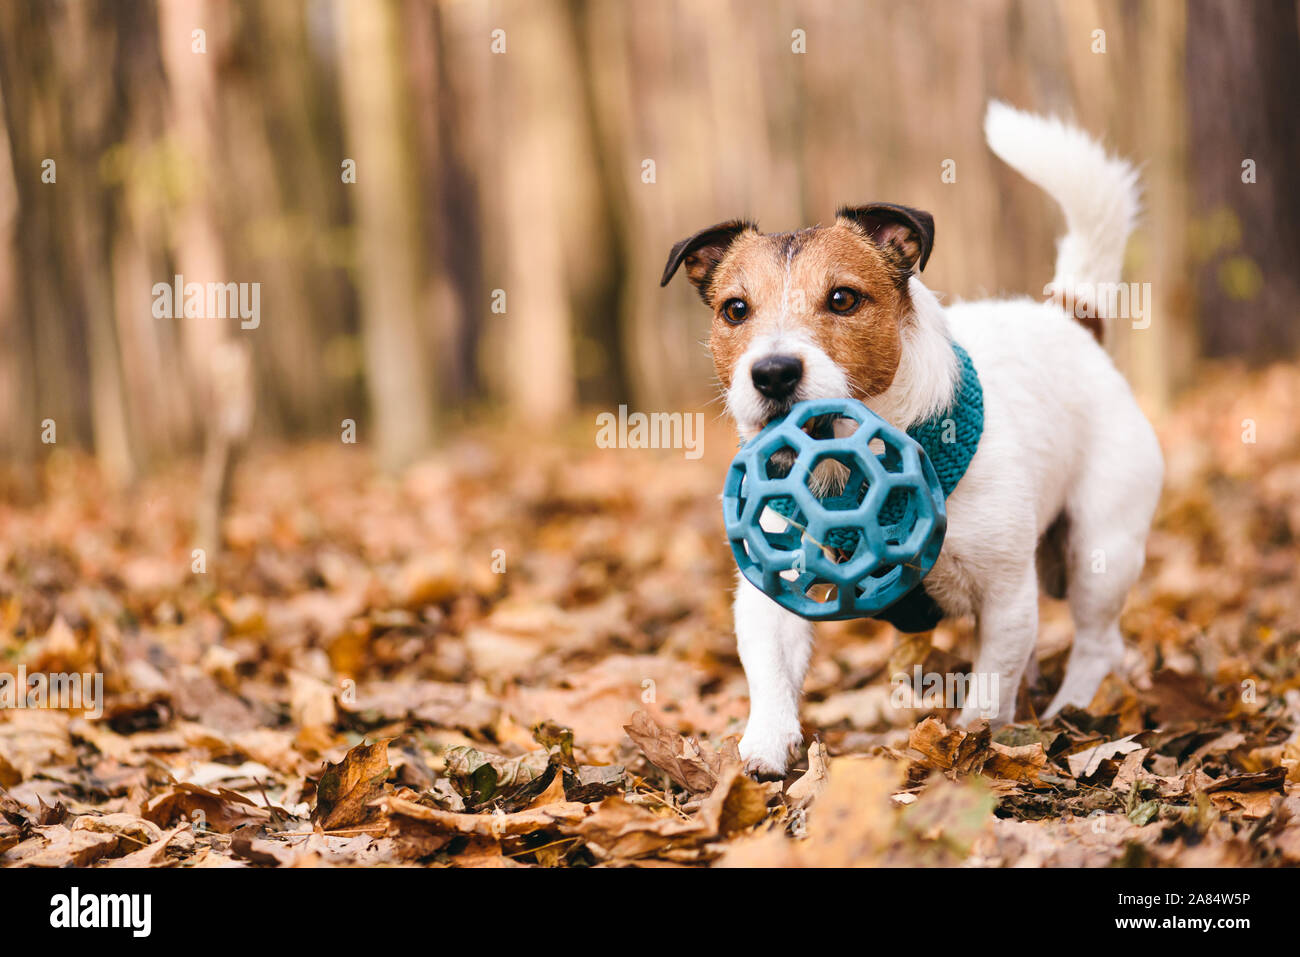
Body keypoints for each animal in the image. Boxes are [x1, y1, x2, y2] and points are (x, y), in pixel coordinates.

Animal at [665, 102, 1164, 780]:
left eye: (843, 298)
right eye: (735, 310)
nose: (772, 372)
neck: (848, 469)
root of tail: (1070, 316)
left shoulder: (1005, 594)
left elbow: (989, 687)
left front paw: (976, 748)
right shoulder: (771, 584)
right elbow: (770, 671)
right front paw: (764, 746)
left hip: (1101, 547)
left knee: (1097, 641)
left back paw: (1072, 707)